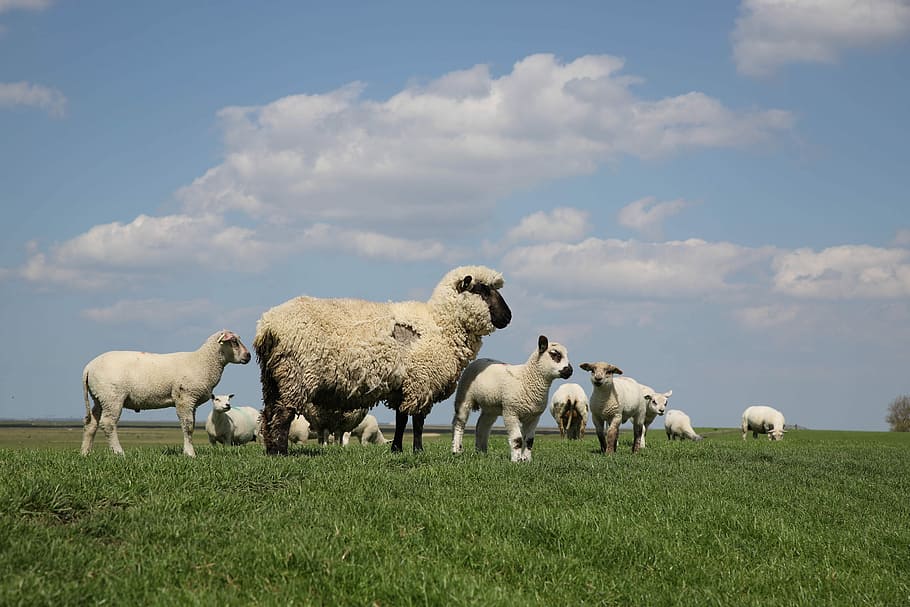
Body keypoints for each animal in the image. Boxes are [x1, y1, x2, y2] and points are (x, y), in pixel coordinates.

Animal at [82, 330, 251, 458]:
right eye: (234, 341)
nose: (248, 356)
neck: (202, 363)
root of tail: (89, 367)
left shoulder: (192, 402)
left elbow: (191, 426)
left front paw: (188, 451)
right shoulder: (185, 398)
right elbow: (188, 426)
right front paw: (190, 454)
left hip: (99, 398)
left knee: (91, 424)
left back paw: (85, 453)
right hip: (112, 396)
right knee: (108, 423)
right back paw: (119, 453)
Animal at [256, 266, 512, 456]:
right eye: (483, 290)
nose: (508, 317)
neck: (440, 324)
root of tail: (267, 324)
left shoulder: (403, 386)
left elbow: (401, 419)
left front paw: (397, 449)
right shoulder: (422, 382)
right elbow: (417, 421)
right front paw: (418, 451)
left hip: (272, 377)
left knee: (268, 413)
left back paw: (270, 450)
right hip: (296, 373)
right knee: (283, 414)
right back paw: (281, 452)